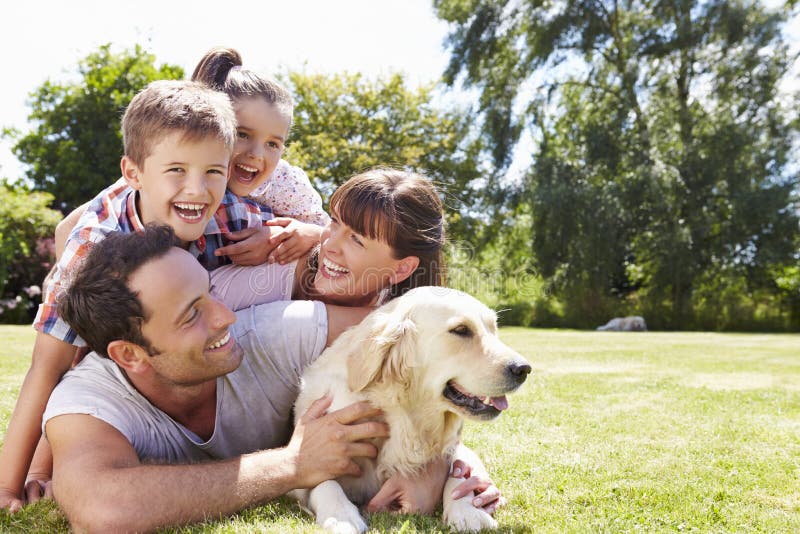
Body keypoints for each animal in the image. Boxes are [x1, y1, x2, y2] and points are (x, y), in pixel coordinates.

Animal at [290, 286, 532, 532]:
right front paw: (341, 516)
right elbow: (324, 480)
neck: (402, 416)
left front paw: (468, 512)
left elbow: (458, 470)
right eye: (461, 330)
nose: (523, 369)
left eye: (494, 329)